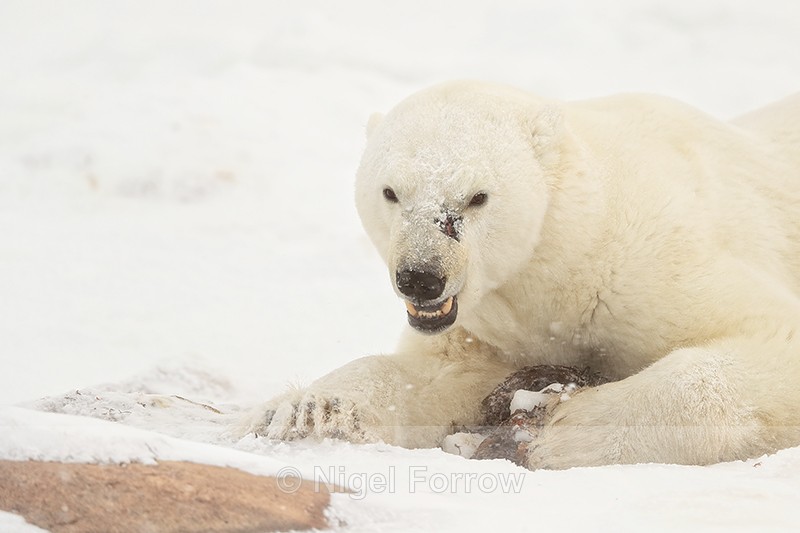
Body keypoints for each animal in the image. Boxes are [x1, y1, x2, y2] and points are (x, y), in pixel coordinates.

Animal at [244, 81, 800, 469]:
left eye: (477, 197)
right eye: (390, 192)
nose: (421, 277)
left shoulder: (657, 258)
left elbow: (765, 339)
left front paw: (557, 431)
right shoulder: (492, 327)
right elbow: (436, 377)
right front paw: (300, 410)